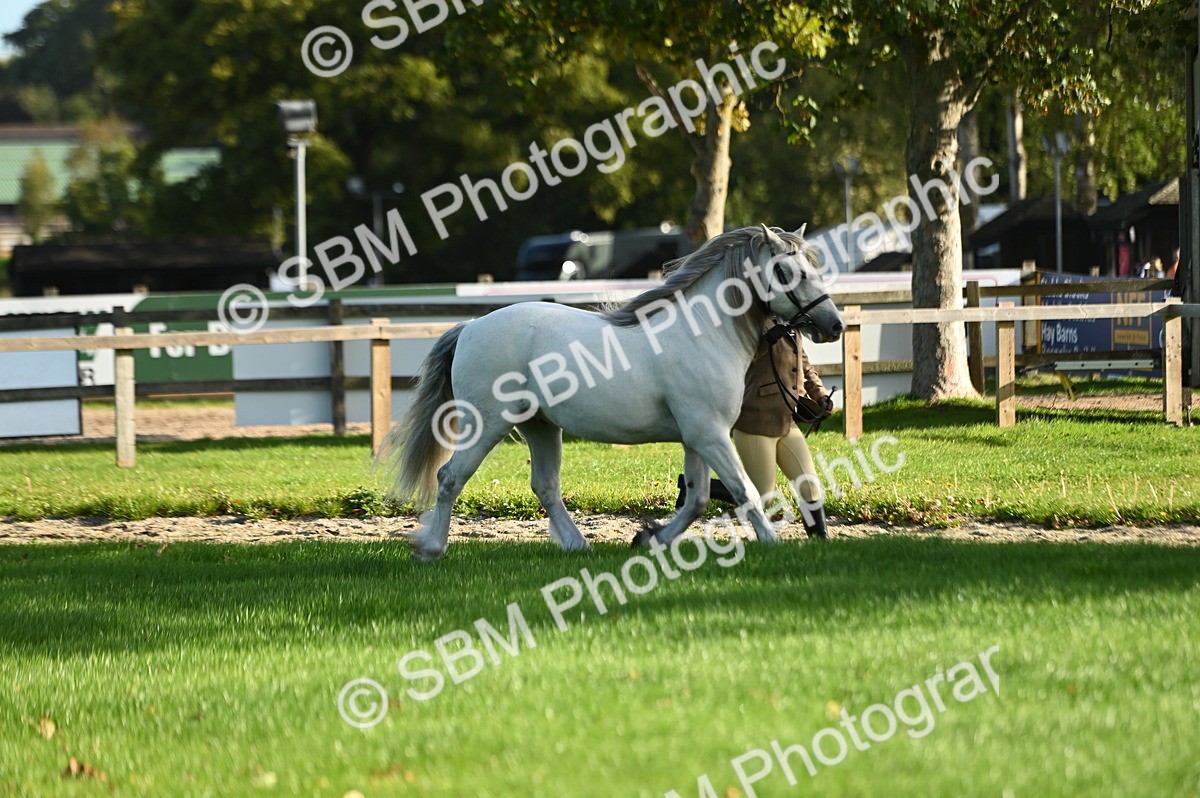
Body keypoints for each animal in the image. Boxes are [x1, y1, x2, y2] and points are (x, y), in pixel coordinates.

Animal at [381, 224, 844, 560]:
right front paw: (771, 542)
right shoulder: (710, 435)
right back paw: (431, 548)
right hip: (487, 425)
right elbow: (744, 490)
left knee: (545, 486)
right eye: (791, 272)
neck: (703, 333)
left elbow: (696, 499)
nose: (834, 325)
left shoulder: (697, 437)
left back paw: (576, 544)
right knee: (450, 477)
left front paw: (651, 538)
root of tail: (471, 326)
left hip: (540, 426)